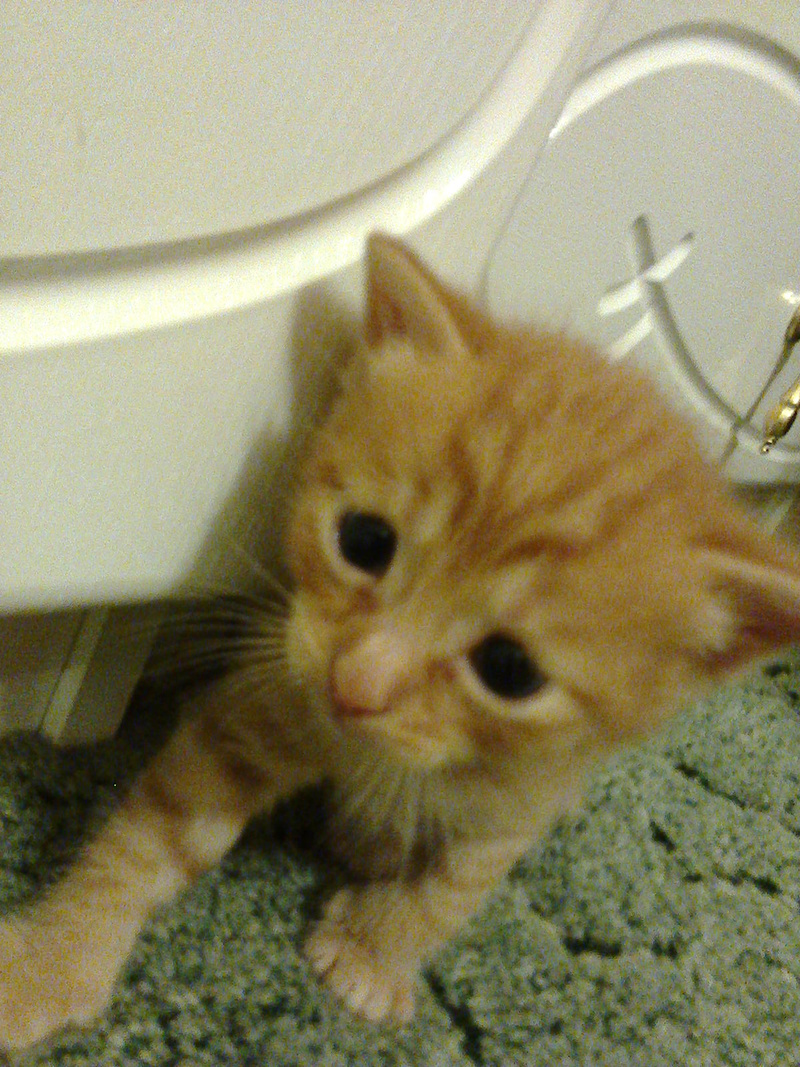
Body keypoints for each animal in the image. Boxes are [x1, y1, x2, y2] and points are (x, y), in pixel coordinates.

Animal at [3, 232, 800, 1052]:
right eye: (364, 540)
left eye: (508, 669)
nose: (354, 684)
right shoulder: (267, 697)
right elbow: (154, 838)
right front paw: (54, 959)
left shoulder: (522, 795)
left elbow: (454, 886)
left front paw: (373, 953)